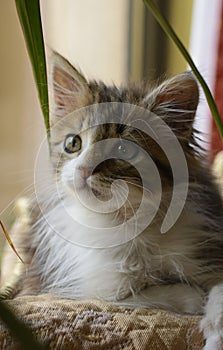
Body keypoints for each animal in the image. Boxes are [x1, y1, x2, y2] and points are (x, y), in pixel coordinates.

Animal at [2, 52, 223, 350]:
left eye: (123, 149)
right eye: (73, 143)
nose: (84, 170)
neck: (128, 219)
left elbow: (216, 286)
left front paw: (216, 327)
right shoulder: (86, 284)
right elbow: (145, 294)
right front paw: (194, 298)